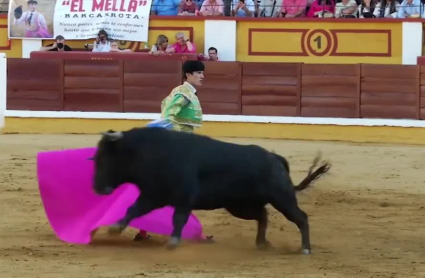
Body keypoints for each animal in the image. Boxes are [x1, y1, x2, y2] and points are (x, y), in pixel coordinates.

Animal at [91, 127, 330, 254]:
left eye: (105, 159)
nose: (97, 188)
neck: (150, 152)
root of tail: (274, 158)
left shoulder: (184, 197)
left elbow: (178, 218)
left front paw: (173, 242)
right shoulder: (153, 195)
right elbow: (133, 209)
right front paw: (115, 228)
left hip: (282, 198)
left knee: (301, 218)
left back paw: (305, 249)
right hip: (239, 205)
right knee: (262, 215)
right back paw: (261, 243)